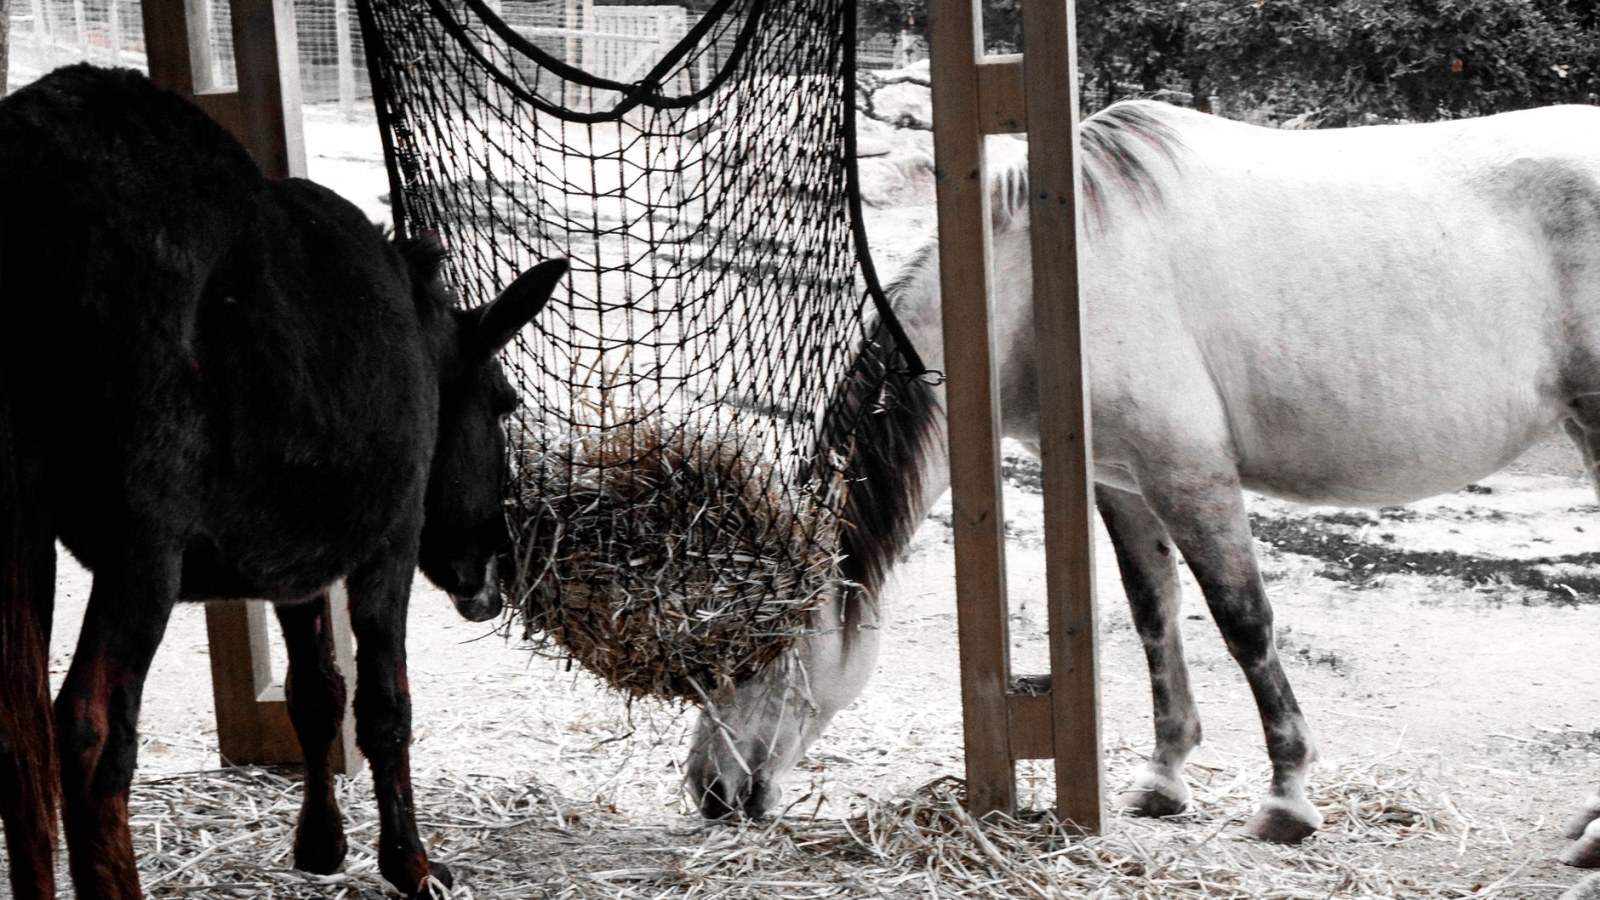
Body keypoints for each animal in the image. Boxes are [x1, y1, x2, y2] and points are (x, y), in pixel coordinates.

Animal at [0, 64, 567, 899]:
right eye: (506, 401)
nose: (495, 560)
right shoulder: (389, 541)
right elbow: (384, 703)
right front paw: (410, 862)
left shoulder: (295, 563)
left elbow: (315, 691)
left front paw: (321, 844)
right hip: (144, 536)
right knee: (89, 729)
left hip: (20, 529)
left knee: (19, 734)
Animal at [686, 97, 1600, 867]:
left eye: (760, 647)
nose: (711, 792)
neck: (1043, 284)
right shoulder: (1122, 484)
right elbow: (1154, 616)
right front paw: (1165, 780)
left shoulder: (1189, 475)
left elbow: (1243, 622)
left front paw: (1288, 798)